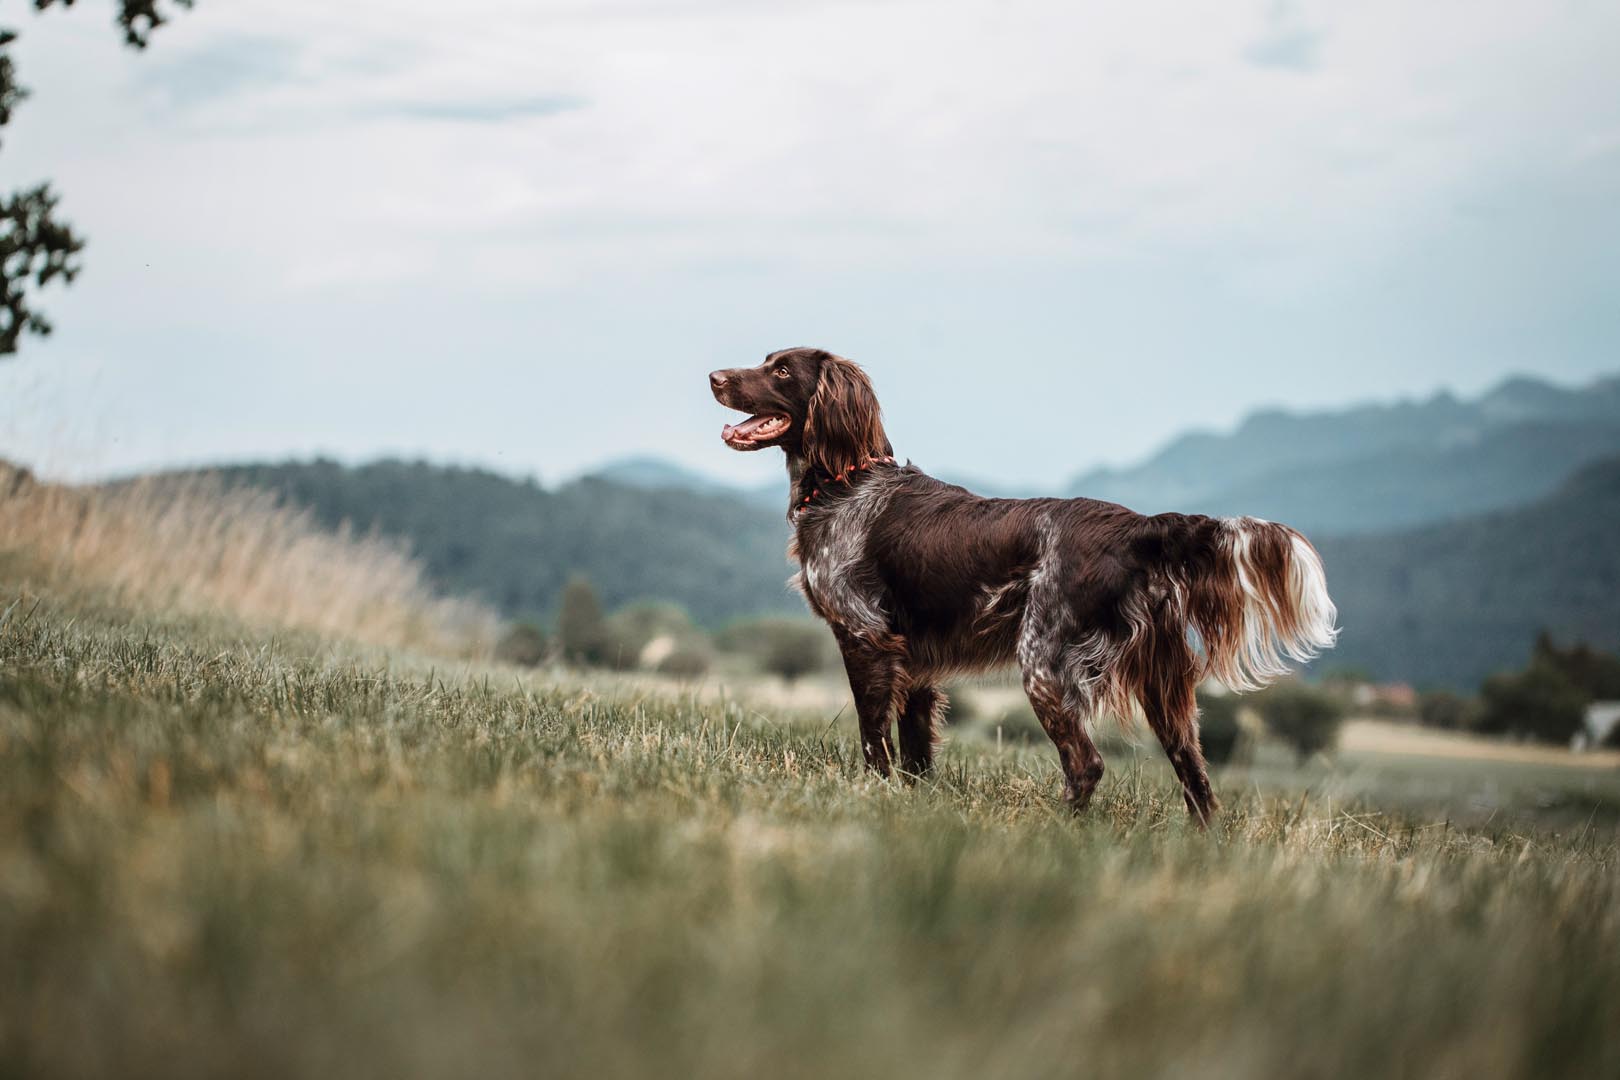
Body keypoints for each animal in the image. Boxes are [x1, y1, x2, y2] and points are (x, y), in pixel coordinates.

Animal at [712, 351, 1341, 822]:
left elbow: (874, 739)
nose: (713, 377)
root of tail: (1139, 526)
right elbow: (915, 752)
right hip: (1162, 683)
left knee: (1087, 765)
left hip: (1043, 663)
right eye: (766, 361)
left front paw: (872, 795)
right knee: (1198, 781)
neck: (845, 482)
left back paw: (1062, 832)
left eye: (782, 371)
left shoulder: (866, 637)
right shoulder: (914, 661)